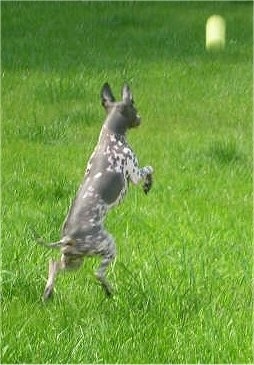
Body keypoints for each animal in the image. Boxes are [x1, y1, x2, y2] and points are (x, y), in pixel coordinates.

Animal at [41, 82, 154, 298]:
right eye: (134, 105)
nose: (141, 118)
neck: (111, 134)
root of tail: (68, 238)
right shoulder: (135, 172)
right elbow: (149, 169)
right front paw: (148, 184)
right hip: (107, 245)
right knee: (98, 273)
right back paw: (109, 290)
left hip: (73, 261)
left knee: (53, 264)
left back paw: (48, 292)